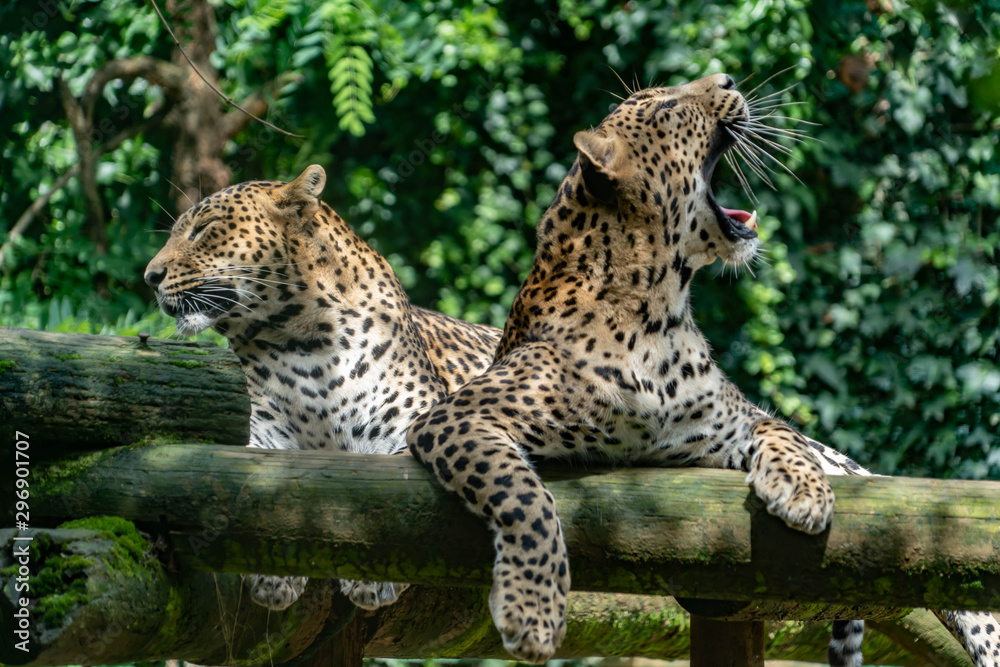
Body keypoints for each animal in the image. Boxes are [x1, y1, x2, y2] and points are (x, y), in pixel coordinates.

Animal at [144, 164, 501, 612]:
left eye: (203, 228)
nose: (149, 277)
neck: (308, 341)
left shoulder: (414, 426)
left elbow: (395, 504)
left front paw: (374, 576)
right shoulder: (261, 433)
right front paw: (272, 572)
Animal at [404, 73, 1000, 667]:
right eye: (668, 105)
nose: (727, 78)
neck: (655, 314)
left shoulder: (722, 427)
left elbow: (780, 430)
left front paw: (803, 491)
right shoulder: (456, 417)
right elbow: (525, 498)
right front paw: (532, 610)